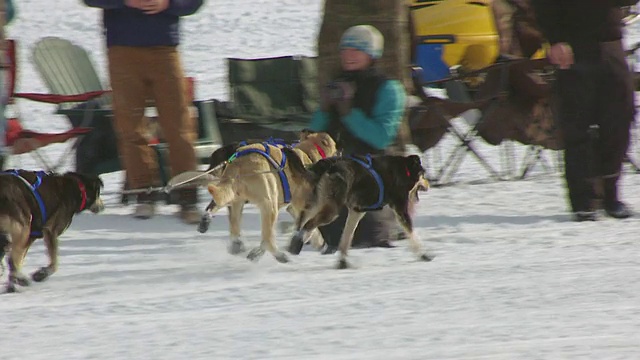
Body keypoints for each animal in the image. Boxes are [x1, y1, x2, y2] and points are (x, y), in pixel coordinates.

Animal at [202, 131, 338, 262]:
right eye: (336, 147)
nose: (339, 153)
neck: (306, 153)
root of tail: (239, 163)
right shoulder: (302, 207)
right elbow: (310, 228)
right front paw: (319, 242)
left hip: (237, 202)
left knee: (234, 225)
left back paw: (233, 242)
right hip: (269, 206)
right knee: (267, 239)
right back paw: (280, 255)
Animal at [284, 148, 436, 268]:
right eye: (423, 175)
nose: (429, 185)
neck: (404, 169)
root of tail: (328, 165)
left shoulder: (356, 212)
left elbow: (346, 238)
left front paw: (342, 262)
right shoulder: (400, 209)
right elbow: (413, 234)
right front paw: (424, 254)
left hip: (319, 202)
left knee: (302, 217)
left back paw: (294, 243)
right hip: (331, 210)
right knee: (309, 224)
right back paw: (299, 240)